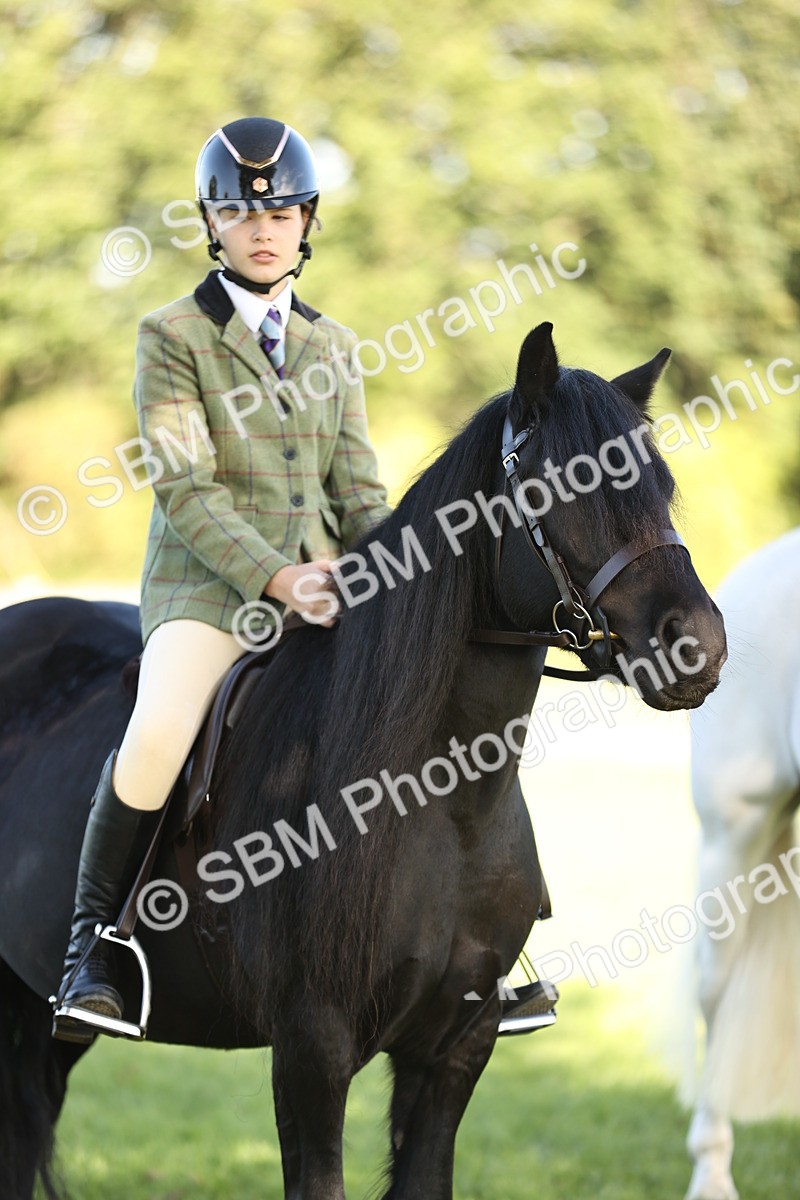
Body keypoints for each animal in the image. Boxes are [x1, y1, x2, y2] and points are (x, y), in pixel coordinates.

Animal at [0, 322, 727, 1200]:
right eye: (559, 486)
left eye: (660, 484)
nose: (698, 644)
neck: (441, 803)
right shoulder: (312, 1045)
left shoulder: (456, 1045)